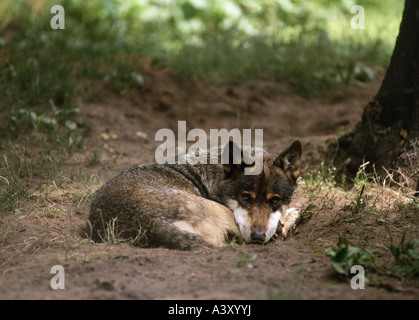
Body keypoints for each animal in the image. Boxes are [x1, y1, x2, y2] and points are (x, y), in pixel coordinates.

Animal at [88, 141, 304, 250]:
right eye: (245, 197)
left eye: (275, 200)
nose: (258, 237)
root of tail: (150, 222)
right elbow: (279, 227)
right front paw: (292, 214)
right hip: (226, 215)